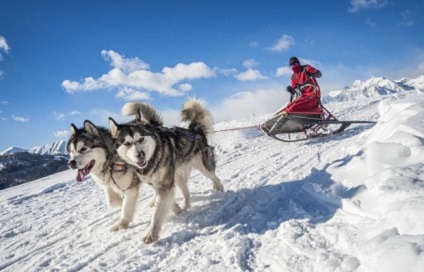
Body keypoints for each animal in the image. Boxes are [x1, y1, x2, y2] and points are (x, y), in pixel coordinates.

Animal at [107, 99, 224, 243]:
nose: (140, 154)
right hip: (178, 177)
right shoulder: (158, 185)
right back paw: (185, 206)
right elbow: (166, 203)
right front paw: (176, 209)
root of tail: (194, 130)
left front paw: (151, 234)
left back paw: (220, 190)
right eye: (127, 144)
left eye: (141, 139)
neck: (153, 157)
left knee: (215, 177)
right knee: (186, 193)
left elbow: (156, 215)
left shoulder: (164, 186)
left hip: (203, 167)